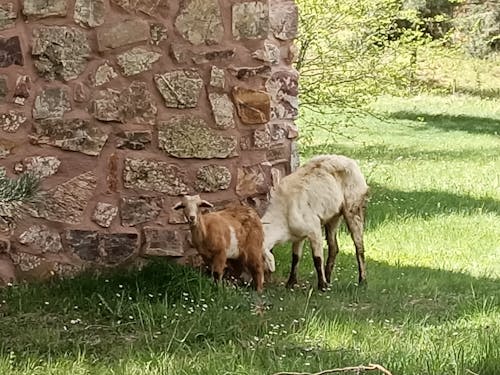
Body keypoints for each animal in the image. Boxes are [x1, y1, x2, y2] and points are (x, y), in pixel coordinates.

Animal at [260, 154, 370, 292]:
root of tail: (351, 161)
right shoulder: (298, 235)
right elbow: (295, 257)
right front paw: (290, 283)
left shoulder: (314, 229)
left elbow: (317, 259)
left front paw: (321, 286)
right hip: (333, 216)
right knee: (334, 247)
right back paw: (328, 278)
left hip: (353, 207)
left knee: (359, 247)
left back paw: (362, 281)